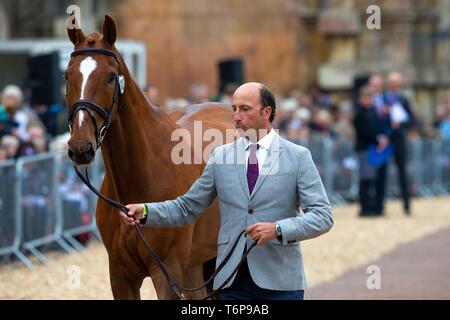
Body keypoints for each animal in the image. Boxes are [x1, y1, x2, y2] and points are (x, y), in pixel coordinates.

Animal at [67, 15, 236, 300]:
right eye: (67, 75)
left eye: (111, 77)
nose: (81, 147)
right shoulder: (120, 276)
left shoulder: (167, 273)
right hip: (198, 266)